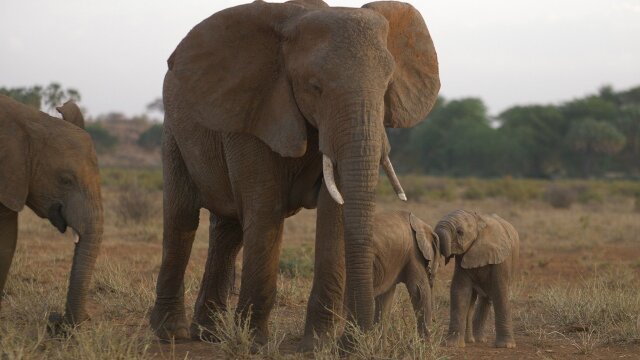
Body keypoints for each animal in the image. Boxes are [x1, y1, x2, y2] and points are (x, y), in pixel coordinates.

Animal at [150, 0, 440, 348]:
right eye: (315, 87)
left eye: (387, 85)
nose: (353, 342)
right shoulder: (257, 112)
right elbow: (266, 209)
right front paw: (255, 342)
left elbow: (334, 213)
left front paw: (317, 346)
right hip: (174, 133)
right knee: (181, 219)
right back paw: (172, 333)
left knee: (228, 230)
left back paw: (209, 335)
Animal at [436, 210, 520, 348]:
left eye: (460, 232)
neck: (478, 221)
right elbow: (460, 290)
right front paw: (453, 345)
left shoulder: (502, 257)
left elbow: (500, 291)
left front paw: (506, 346)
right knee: (477, 298)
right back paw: (473, 340)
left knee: (489, 296)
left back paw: (477, 340)